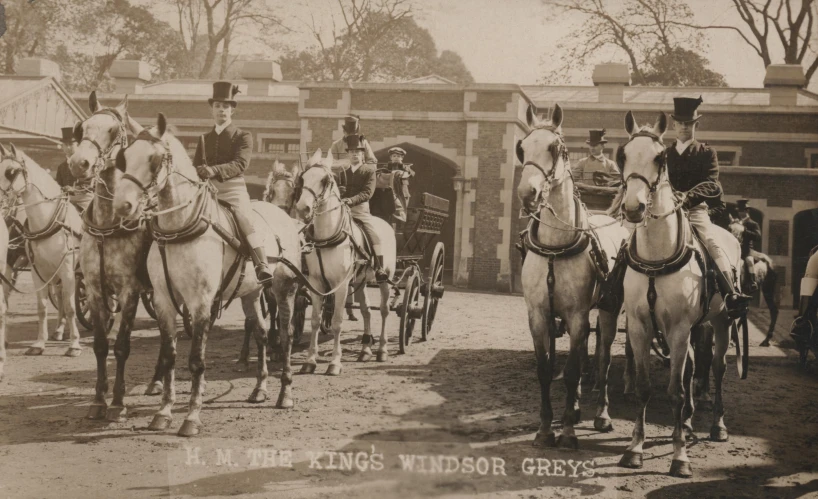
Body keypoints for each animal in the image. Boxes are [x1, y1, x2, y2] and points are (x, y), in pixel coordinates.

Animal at [0, 143, 82, 358]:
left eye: (11, 172)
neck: (50, 221)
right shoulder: (39, 272)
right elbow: (42, 308)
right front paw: (39, 344)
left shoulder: (68, 271)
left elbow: (71, 307)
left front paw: (75, 344)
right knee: (60, 296)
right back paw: (59, 330)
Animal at [110, 114, 298, 438]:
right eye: (124, 157)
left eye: (155, 160)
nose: (124, 206)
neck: (180, 228)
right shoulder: (164, 300)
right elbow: (169, 356)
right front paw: (163, 412)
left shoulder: (200, 302)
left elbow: (197, 360)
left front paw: (192, 417)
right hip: (250, 293)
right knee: (261, 334)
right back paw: (260, 387)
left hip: (283, 289)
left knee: (284, 336)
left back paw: (284, 393)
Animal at [294, 150, 396, 376]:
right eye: (303, 178)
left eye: (325, 180)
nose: (303, 209)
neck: (327, 237)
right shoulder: (316, 284)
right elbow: (315, 321)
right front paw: (310, 361)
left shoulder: (340, 286)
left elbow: (337, 322)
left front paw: (335, 363)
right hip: (360, 280)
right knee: (367, 310)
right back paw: (365, 350)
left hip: (384, 278)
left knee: (384, 310)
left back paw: (382, 349)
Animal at [512, 103, 628, 452]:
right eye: (522, 148)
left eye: (555, 147)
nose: (528, 193)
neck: (555, 246)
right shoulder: (539, 315)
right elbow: (546, 368)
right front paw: (544, 429)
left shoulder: (577, 315)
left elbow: (574, 368)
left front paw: (566, 433)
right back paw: (575, 408)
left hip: (608, 309)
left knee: (603, 356)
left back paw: (601, 414)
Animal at [616, 111, 736, 478]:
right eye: (623, 155)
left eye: (659, 157)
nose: (634, 208)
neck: (658, 255)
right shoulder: (641, 327)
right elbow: (644, 388)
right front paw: (635, 448)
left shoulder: (680, 329)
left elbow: (676, 392)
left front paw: (680, 455)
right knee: (695, 364)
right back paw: (687, 422)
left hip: (721, 321)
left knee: (716, 367)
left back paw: (717, 425)